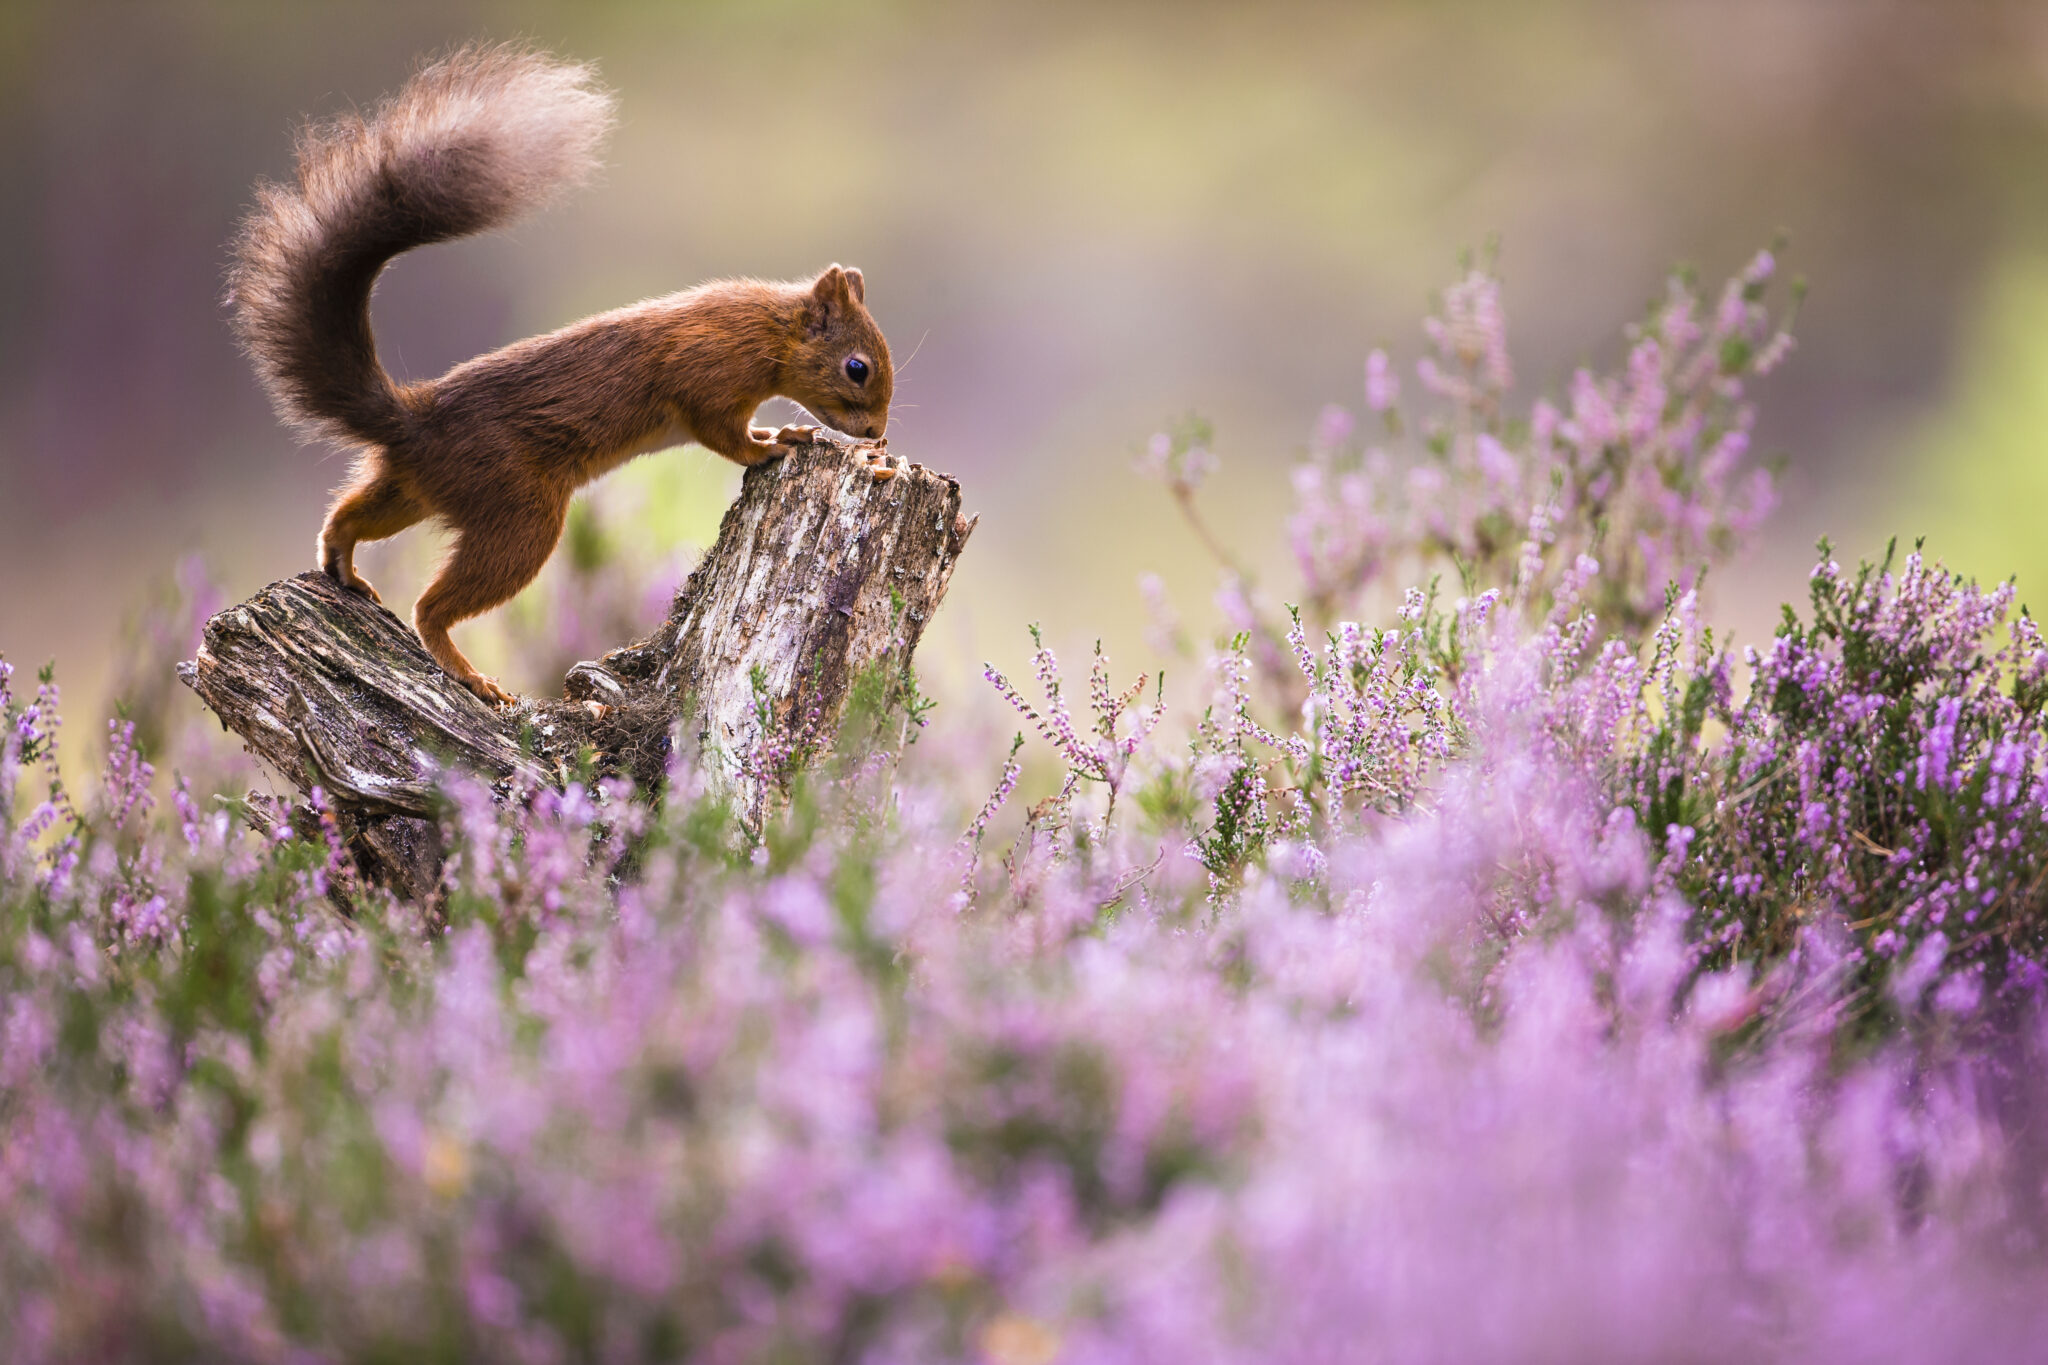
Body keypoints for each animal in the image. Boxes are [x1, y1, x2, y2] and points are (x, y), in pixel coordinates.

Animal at [226, 42, 897, 703]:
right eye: (857, 368)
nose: (876, 435)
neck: (766, 330)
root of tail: (412, 420)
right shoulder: (702, 376)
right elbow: (722, 435)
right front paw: (772, 446)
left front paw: (784, 433)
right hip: (519, 514)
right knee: (430, 607)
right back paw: (465, 671)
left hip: (417, 490)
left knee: (351, 513)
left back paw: (341, 559)